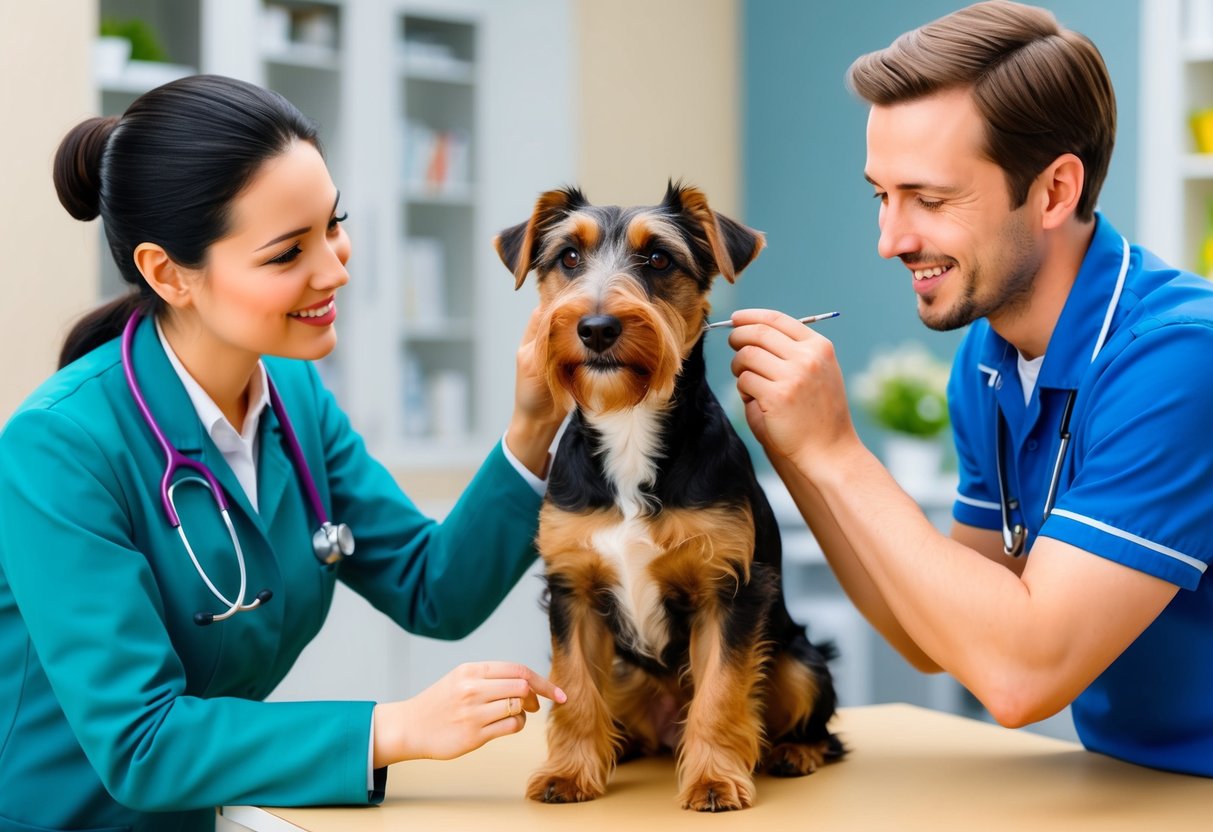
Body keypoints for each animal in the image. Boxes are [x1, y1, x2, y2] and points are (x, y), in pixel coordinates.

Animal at [492, 184, 844, 815]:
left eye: (658, 259)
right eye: (568, 258)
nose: (597, 328)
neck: (630, 426)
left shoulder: (730, 588)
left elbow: (722, 692)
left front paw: (713, 780)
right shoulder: (572, 589)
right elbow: (573, 685)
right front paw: (569, 771)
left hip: (800, 659)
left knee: (816, 723)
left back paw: (793, 751)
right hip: (625, 668)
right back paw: (623, 745)